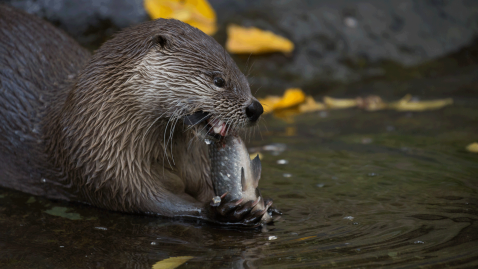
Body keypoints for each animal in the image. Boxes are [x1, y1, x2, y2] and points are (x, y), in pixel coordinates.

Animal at [0, 5, 272, 225]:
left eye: (243, 76)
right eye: (219, 80)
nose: (255, 108)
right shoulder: (103, 166)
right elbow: (147, 200)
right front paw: (223, 212)